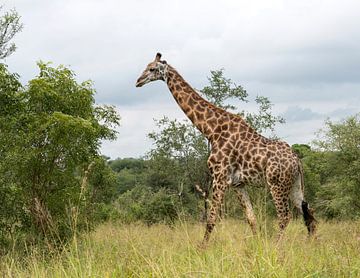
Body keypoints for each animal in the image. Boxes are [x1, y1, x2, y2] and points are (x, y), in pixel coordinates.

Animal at [136, 52, 316, 245]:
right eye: (146, 67)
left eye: (152, 69)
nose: (138, 81)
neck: (211, 130)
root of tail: (297, 161)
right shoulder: (238, 184)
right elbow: (251, 218)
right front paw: (257, 246)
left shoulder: (219, 177)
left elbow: (211, 219)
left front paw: (202, 248)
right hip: (294, 185)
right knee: (309, 213)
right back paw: (312, 245)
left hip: (277, 184)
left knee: (285, 216)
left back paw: (276, 247)